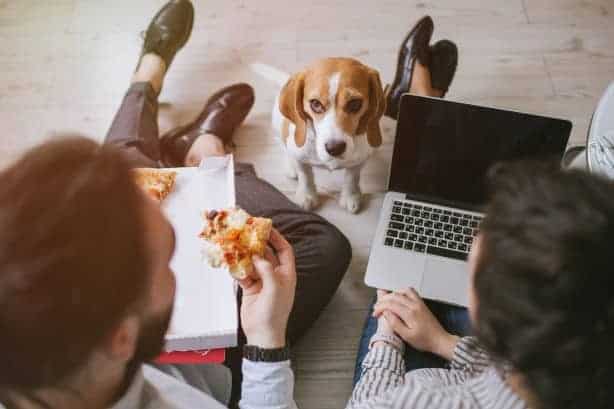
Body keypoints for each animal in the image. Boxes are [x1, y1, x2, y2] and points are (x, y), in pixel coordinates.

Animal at [274, 58, 388, 214]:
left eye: (355, 103)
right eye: (315, 104)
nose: (335, 148)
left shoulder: (359, 160)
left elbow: (352, 177)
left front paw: (350, 196)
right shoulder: (301, 158)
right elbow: (305, 175)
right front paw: (306, 196)